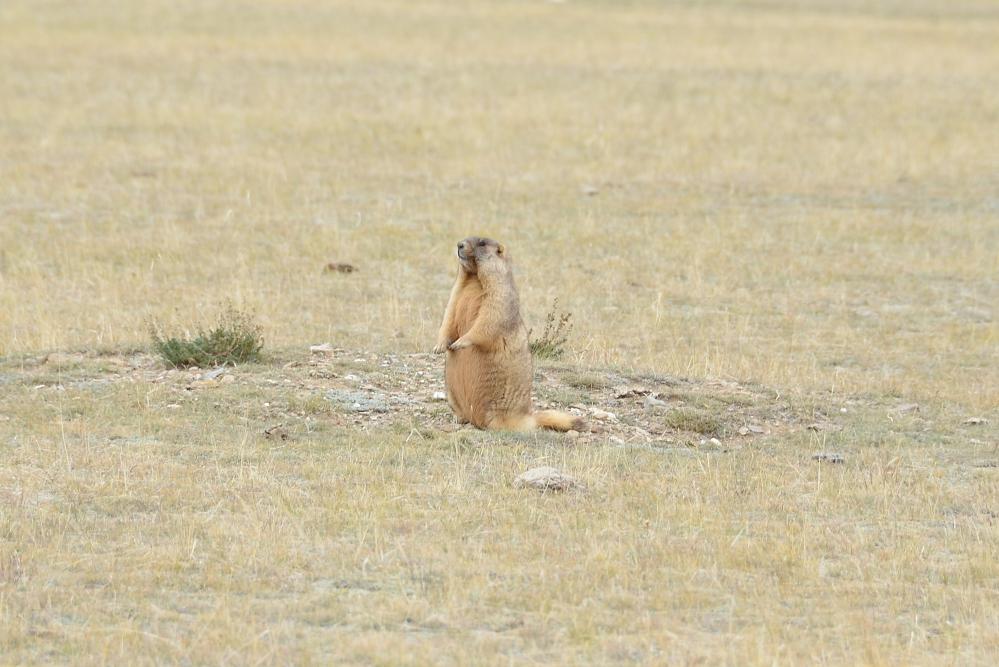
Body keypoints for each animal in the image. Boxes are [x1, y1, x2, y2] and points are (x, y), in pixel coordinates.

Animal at [433, 237, 583, 432]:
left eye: (482, 243)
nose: (459, 244)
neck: (474, 278)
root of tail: (527, 417)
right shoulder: (456, 293)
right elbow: (448, 316)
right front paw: (439, 346)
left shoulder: (500, 293)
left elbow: (489, 317)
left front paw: (460, 342)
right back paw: (459, 418)